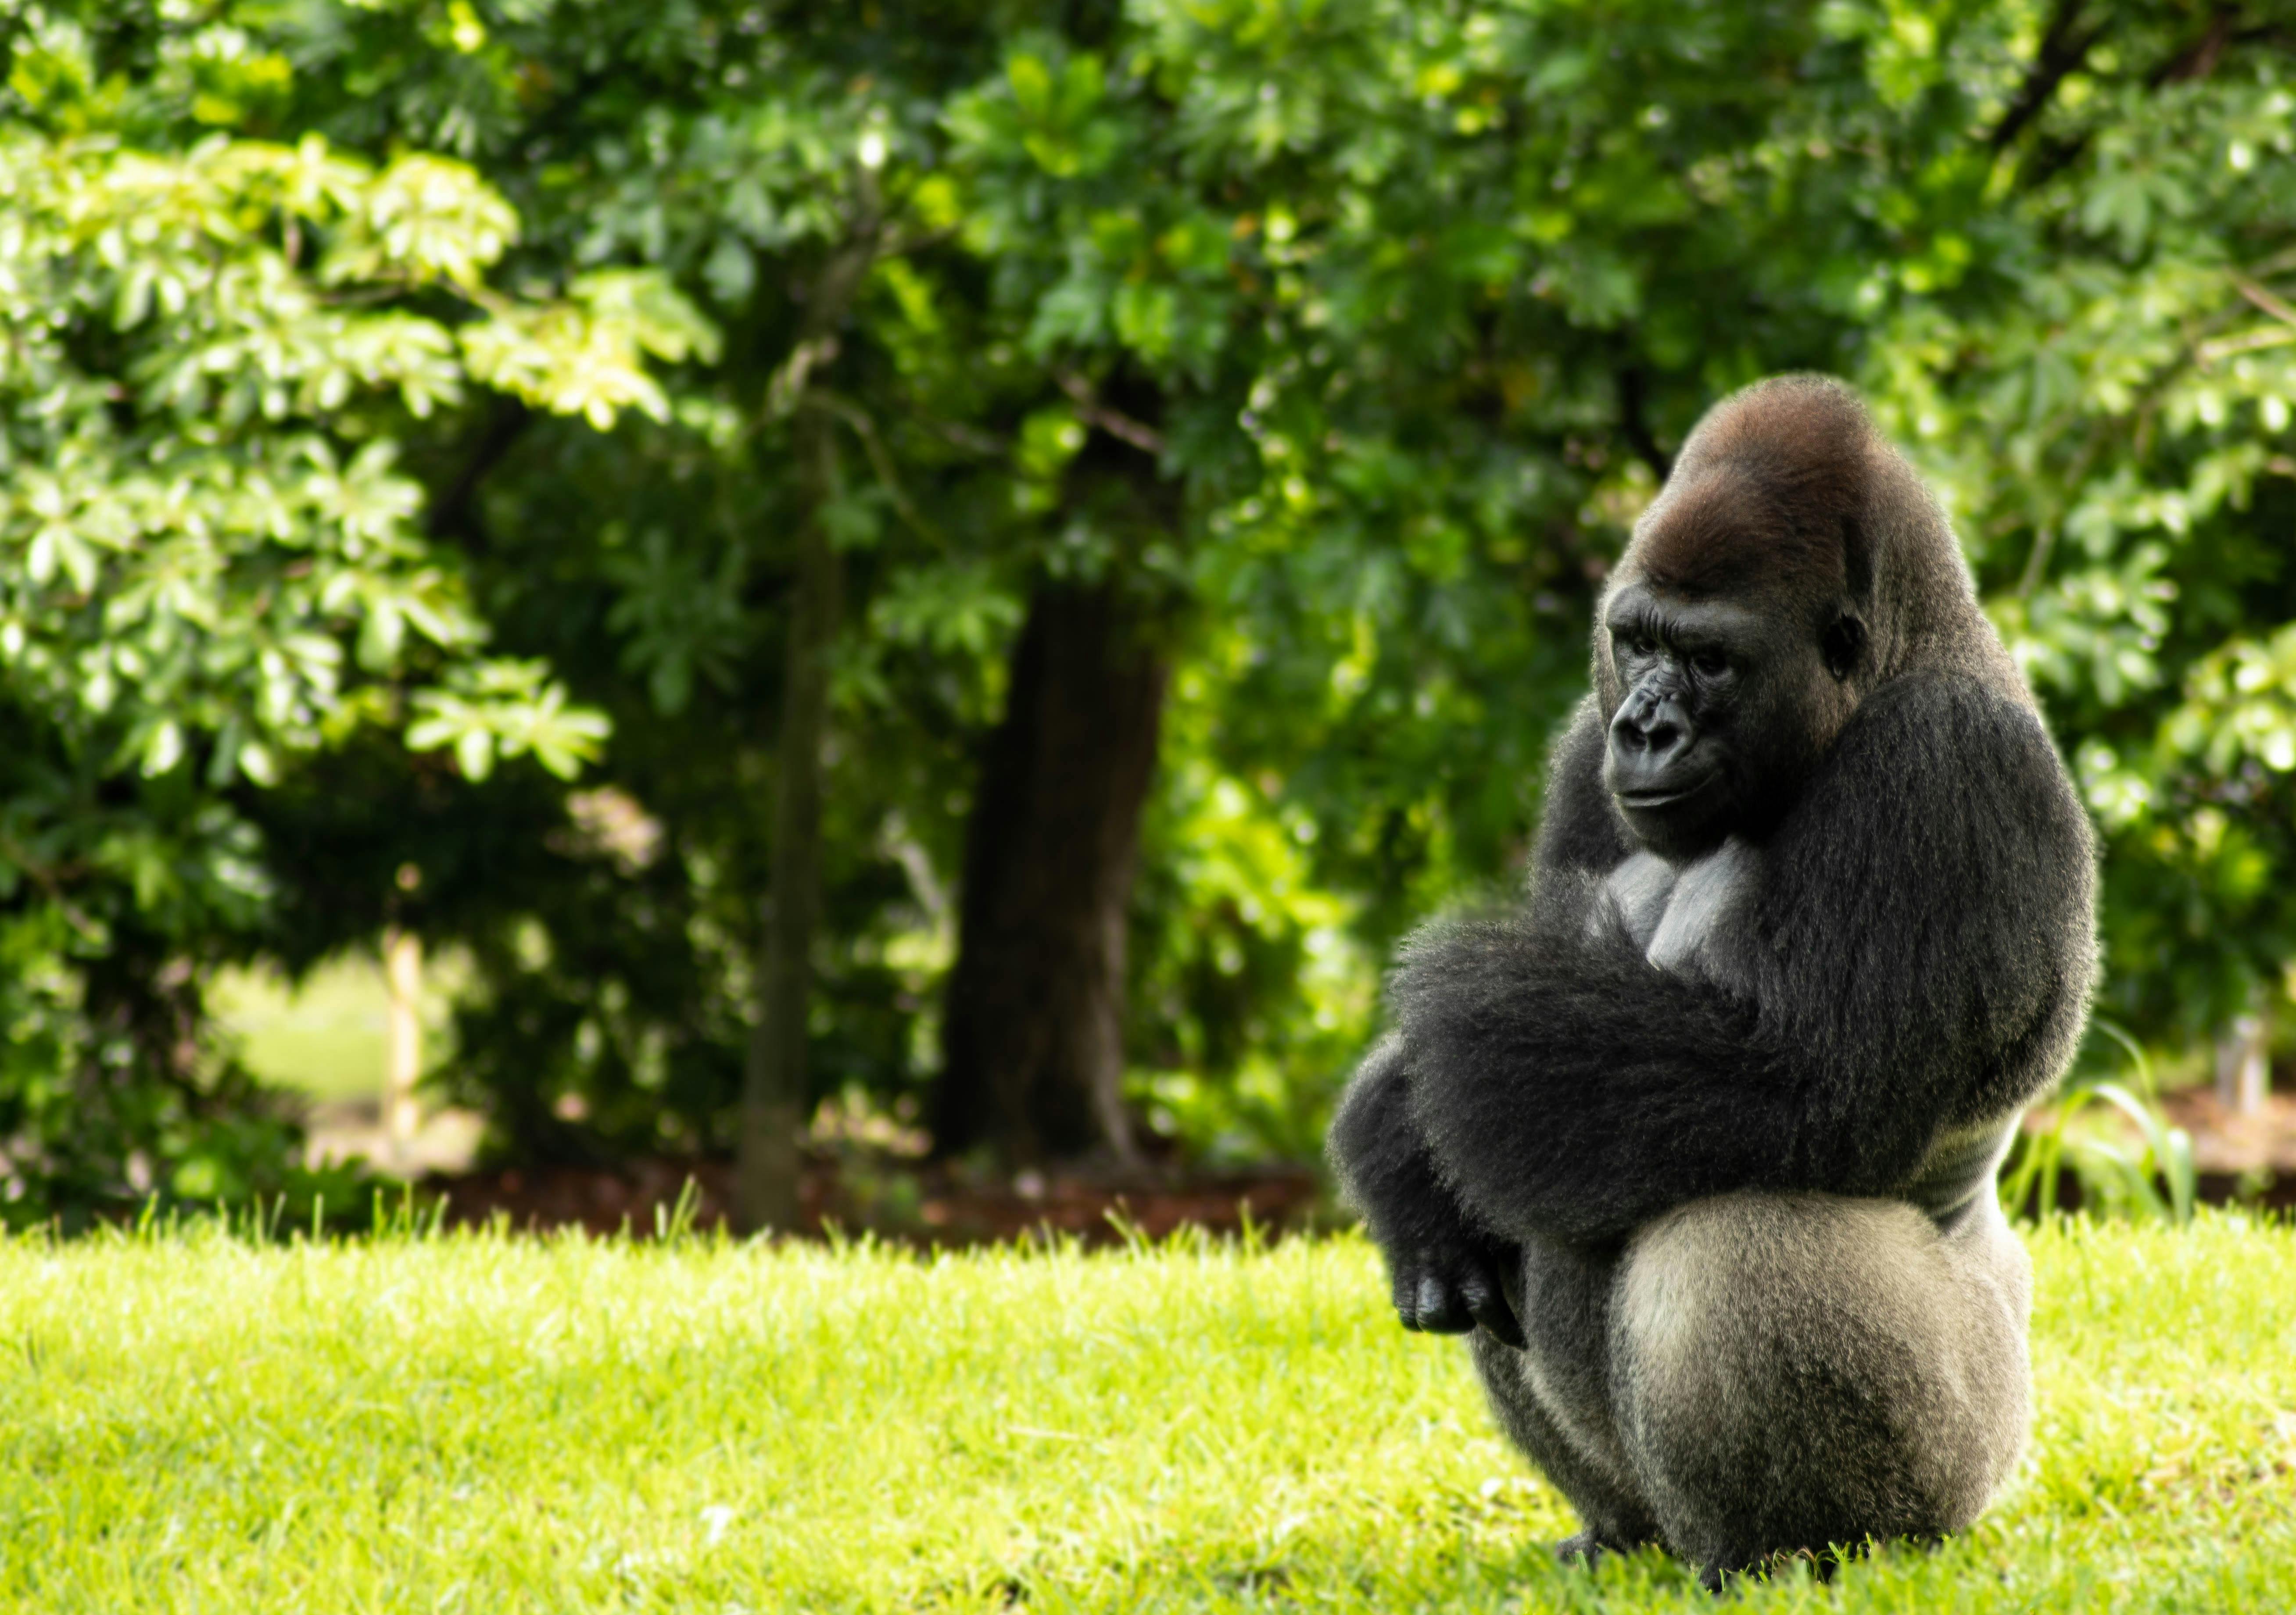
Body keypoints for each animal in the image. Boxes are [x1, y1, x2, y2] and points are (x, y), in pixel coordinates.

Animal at [1332, 372, 2103, 1587]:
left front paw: (1441, 1036)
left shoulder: (1945, 760)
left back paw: (1790, 1548)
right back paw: (1613, 1530)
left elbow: (1807, 1086)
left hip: (1973, 1445)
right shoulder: (1581, 739)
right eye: (1635, 640)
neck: (1898, 655)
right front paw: (1389, 1130)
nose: (1644, 728)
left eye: (1707, 660)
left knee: (1730, 1235)